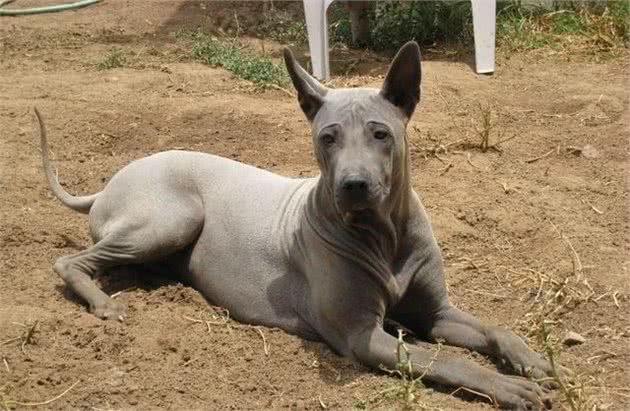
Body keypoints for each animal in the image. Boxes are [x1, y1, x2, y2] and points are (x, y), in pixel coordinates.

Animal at [35, 42, 556, 411]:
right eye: (328, 138)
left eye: (381, 134)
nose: (353, 185)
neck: (384, 235)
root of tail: (109, 183)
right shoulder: (363, 337)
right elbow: (446, 360)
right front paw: (508, 386)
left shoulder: (436, 313)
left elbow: (495, 329)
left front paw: (531, 360)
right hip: (173, 217)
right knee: (69, 260)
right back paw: (104, 304)